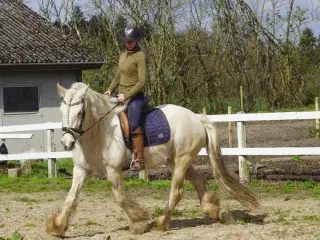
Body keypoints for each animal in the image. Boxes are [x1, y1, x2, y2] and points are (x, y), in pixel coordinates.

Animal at [45, 82, 260, 236]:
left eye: (80, 112)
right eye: (61, 111)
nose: (66, 143)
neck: (99, 132)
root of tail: (196, 117)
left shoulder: (112, 171)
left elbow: (120, 198)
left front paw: (139, 223)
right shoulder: (81, 170)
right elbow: (71, 198)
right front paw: (57, 227)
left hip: (181, 161)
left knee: (177, 191)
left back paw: (162, 222)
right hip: (174, 160)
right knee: (199, 180)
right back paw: (212, 209)